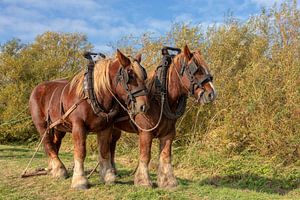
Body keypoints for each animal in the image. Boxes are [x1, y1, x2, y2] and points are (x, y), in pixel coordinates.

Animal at [29, 48, 149, 189]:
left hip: (59, 127)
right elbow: (80, 151)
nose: (143, 106)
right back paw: (59, 170)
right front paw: (79, 180)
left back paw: (53, 169)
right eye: (130, 75)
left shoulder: (106, 127)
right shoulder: (78, 126)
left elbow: (104, 151)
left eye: (144, 75)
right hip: (42, 126)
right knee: (47, 143)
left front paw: (108, 176)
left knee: (55, 143)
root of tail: (37, 88)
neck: (94, 93)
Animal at [109, 45, 217, 188]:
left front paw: (168, 181)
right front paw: (143, 181)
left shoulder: (168, 133)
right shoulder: (145, 133)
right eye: (196, 70)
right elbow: (145, 155)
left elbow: (165, 156)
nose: (212, 94)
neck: (159, 99)